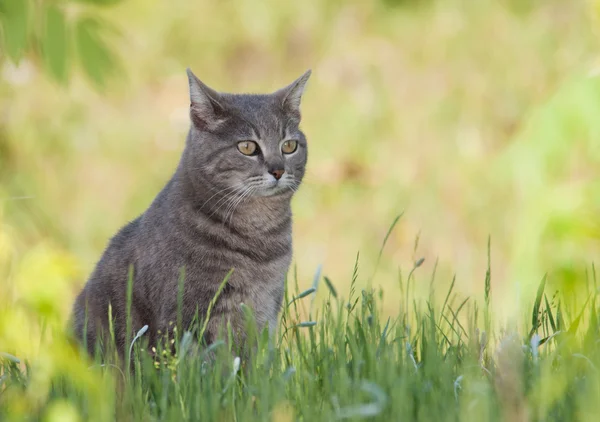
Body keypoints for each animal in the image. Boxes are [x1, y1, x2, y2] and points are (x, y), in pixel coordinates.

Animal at [70, 67, 312, 358]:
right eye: (247, 147)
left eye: (289, 146)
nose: (278, 170)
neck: (260, 238)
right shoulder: (188, 316)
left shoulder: (264, 311)